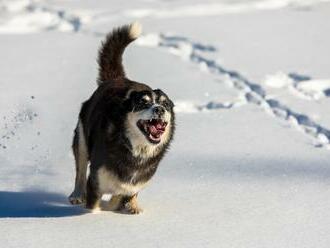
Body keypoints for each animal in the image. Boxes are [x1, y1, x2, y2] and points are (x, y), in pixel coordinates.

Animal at [67, 22, 175, 214]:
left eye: (166, 104)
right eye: (143, 103)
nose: (160, 109)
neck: (135, 150)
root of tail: (117, 79)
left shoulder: (133, 184)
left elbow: (122, 195)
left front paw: (125, 206)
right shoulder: (96, 182)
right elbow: (94, 205)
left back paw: (133, 206)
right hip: (82, 138)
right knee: (80, 170)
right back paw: (77, 195)